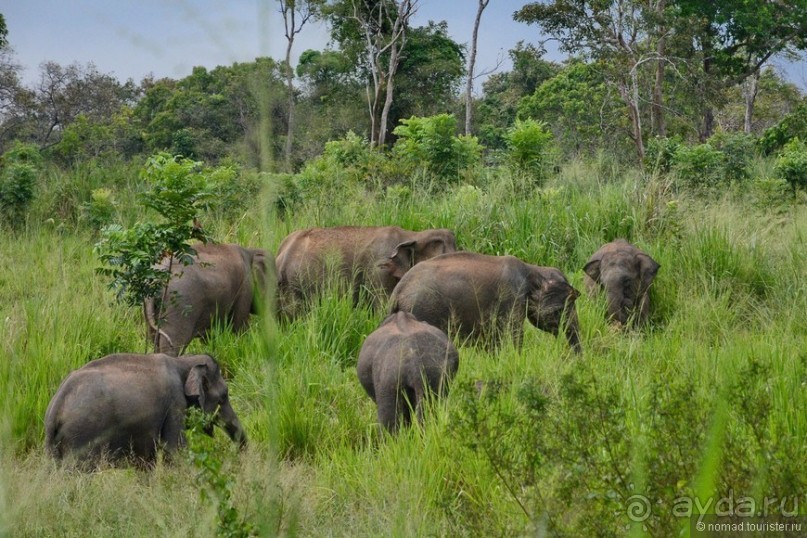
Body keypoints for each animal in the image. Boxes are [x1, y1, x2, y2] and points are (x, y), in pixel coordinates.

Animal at [43, 352, 245, 464]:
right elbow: (175, 450)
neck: (183, 360)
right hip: (81, 433)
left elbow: (147, 458)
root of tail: (55, 407)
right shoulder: (174, 403)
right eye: (223, 396)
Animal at [390, 250, 580, 350]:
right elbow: (515, 332)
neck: (533, 269)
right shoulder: (511, 297)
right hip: (422, 310)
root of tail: (397, 291)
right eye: (564, 307)